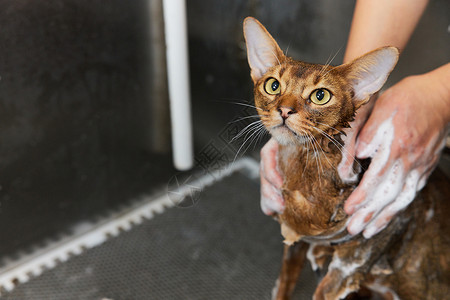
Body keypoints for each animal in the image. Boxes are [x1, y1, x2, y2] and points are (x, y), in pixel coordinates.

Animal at [243, 17, 450, 300]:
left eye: (320, 96)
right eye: (273, 85)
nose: (284, 110)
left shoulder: (349, 264)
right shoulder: (295, 238)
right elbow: (283, 284)